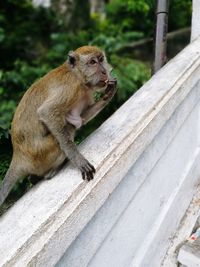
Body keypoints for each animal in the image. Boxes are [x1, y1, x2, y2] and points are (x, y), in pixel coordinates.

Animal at [0, 46, 117, 206]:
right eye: (92, 62)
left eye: (101, 60)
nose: (105, 71)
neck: (78, 76)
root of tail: (18, 156)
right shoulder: (70, 87)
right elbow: (47, 112)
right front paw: (77, 159)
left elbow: (80, 119)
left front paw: (108, 94)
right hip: (40, 153)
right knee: (65, 131)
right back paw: (50, 172)